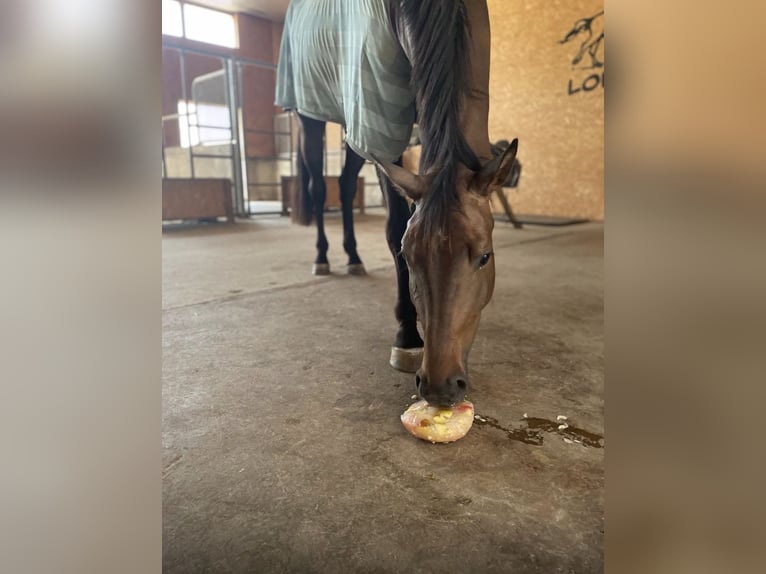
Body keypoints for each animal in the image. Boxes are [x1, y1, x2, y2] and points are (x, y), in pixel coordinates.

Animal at [275, 0, 518, 406]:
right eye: (409, 256)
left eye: (485, 257)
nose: (439, 386)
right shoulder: (380, 127)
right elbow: (392, 229)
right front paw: (407, 335)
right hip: (313, 117)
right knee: (318, 188)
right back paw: (323, 257)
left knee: (345, 186)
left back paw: (353, 257)